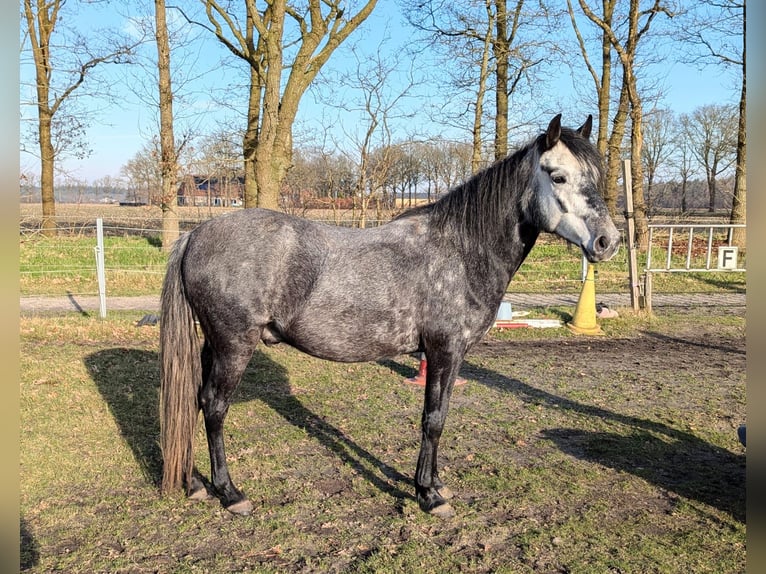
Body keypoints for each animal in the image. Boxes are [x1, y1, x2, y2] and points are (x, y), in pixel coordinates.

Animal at [159, 115, 620, 520]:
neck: (462, 249)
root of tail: (195, 234)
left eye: (594, 176)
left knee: (194, 401)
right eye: (557, 176)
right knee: (214, 406)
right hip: (234, 345)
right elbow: (433, 420)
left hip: (212, 345)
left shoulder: (450, 357)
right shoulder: (444, 351)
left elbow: (440, 415)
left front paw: (434, 483)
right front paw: (429, 494)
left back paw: (194, 483)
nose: (607, 242)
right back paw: (230, 492)